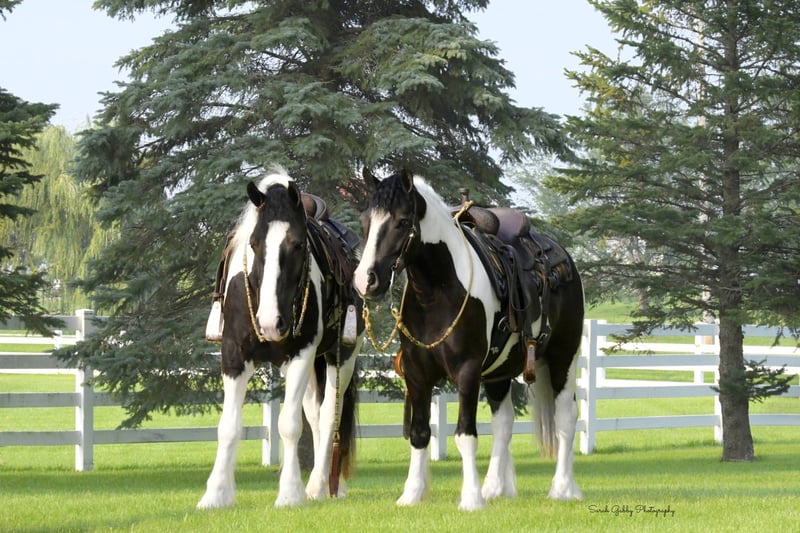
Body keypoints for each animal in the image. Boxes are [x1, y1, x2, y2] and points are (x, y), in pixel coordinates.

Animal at [198, 168, 364, 509]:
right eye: (253, 243)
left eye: (298, 245)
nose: (269, 323)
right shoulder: (233, 356)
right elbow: (228, 427)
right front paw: (216, 494)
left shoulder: (301, 354)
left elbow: (289, 425)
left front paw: (289, 494)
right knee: (314, 413)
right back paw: (324, 486)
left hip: (339, 357)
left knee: (328, 417)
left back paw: (322, 485)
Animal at [353, 169, 584, 510]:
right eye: (365, 221)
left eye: (402, 221)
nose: (365, 280)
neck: (437, 292)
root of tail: (563, 257)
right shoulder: (417, 374)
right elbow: (419, 433)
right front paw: (412, 494)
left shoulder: (467, 371)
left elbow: (465, 435)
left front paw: (471, 499)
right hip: (500, 373)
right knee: (504, 424)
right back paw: (495, 487)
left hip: (562, 358)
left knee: (566, 418)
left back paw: (563, 488)